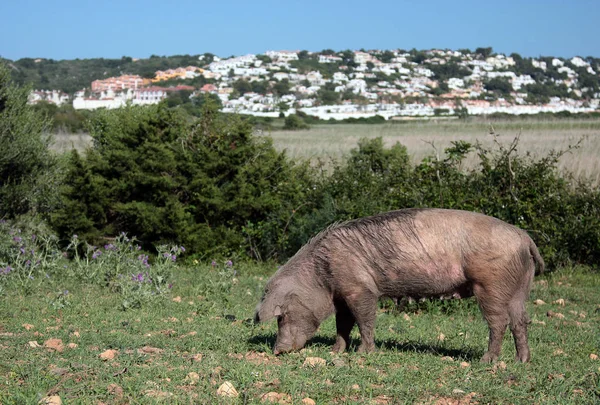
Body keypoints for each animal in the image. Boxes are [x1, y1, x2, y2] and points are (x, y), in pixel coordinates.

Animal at [253, 207, 544, 362]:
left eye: (281, 316)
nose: (277, 351)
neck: (321, 275)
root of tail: (524, 237)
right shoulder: (343, 295)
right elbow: (343, 324)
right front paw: (336, 352)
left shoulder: (361, 289)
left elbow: (365, 320)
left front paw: (364, 353)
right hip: (520, 287)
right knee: (521, 320)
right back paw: (522, 360)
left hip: (491, 284)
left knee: (499, 322)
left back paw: (487, 360)